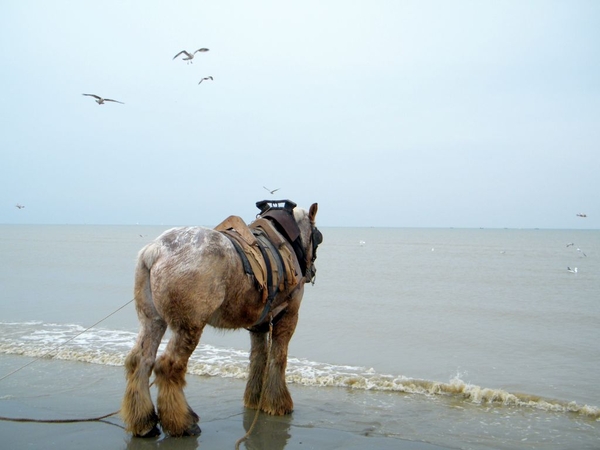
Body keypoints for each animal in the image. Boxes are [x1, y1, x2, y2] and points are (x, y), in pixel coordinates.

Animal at [121, 200, 324, 436]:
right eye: (318, 237)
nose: (312, 271)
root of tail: (155, 250)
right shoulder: (288, 316)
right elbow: (278, 358)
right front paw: (278, 403)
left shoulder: (260, 324)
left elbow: (259, 358)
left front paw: (255, 399)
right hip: (188, 327)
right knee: (168, 366)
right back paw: (183, 423)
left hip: (152, 320)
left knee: (140, 361)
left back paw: (143, 421)